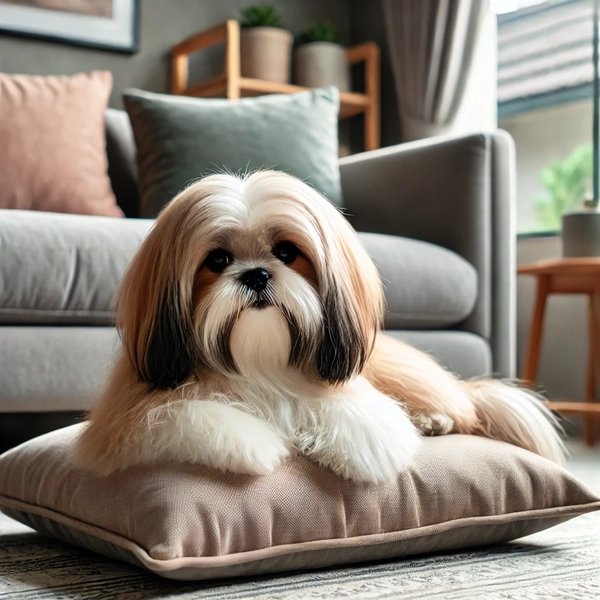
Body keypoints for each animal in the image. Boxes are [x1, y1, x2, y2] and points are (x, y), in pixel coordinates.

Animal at [72, 169, 564, 482]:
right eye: (218, 260)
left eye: (287, 253)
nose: (256, 275)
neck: (257, 358)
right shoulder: (123, 421)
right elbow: (184, 412)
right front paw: (252, 443)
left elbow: (352, 410)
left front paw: (366, 448)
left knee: (467, 412)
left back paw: (434, 420)